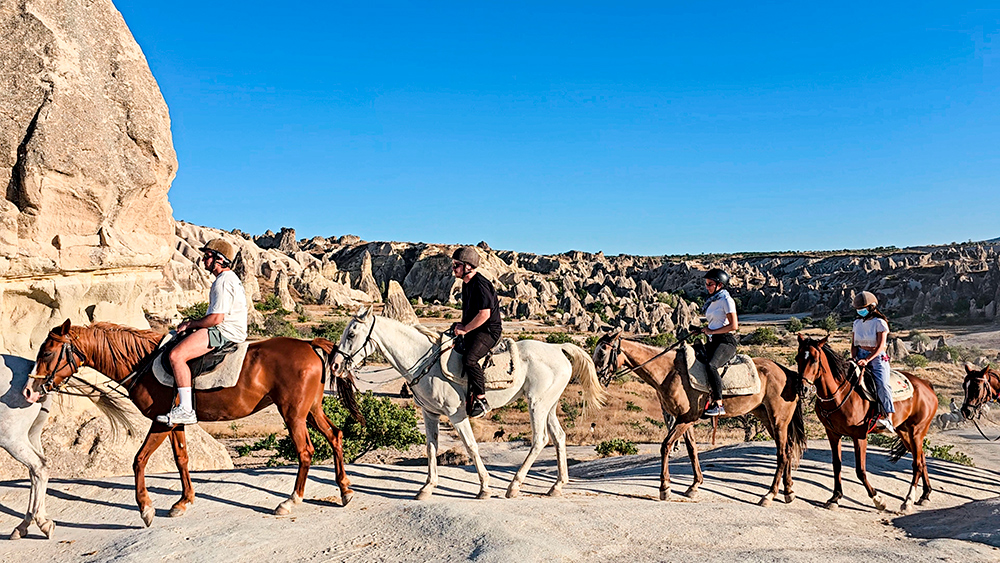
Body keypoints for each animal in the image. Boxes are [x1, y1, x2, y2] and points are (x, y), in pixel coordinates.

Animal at [22, 320, 362, 526]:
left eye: (47, 352)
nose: (29, 389)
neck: (144, 363)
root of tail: (310, 345)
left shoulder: (161, 422)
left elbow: (139, 460)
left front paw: (145, 508)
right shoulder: (175, 423)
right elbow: (182, 459)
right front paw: (183, 502)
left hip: (293, 415)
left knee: (306, 452)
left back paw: (290, 502)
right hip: (311, 411)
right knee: (335, 435)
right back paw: (345, 490)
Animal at [332, 308, 605, 499]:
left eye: (352, 334)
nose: (334, 364)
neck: (424, 362)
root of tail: (559, 348)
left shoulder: (456, 415)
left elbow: (471, 446)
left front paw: (484, 488)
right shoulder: (430, 414)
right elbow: (431, 448)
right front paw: (427, 487)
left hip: (536, 404)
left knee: (540, 439)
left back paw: (514, 486)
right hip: (548, 405)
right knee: (559, 437)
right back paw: (557, 486)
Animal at [592, 330, 807, 506]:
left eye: (602, 352)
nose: (597, 378)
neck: (669, 371)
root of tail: (787, 372)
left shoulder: (685, 418)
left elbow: (666, 446)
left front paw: (665, 488)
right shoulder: (685, 420)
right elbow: (692, 449)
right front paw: (694, 486)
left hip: (778, 420)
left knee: (782, 453)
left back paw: (769, 495)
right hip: (766, 416)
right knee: (788, 449)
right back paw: (788, 491)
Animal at [795, 335, 938, 512]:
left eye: (814, 360)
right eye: (798, 358)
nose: (802, 388)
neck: (839, 394)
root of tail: (926, 385)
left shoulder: (859, 435)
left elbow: (860, 470)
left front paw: (878, 500)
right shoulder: (833, 434)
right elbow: (837, 465)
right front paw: (835, 497)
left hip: (917, 431)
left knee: (917, 463)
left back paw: (908, 501)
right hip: (904, 432)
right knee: (922, 458)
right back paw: (925, 495)